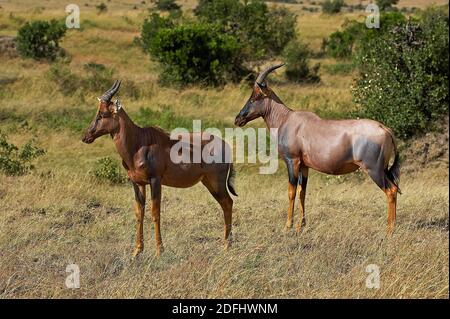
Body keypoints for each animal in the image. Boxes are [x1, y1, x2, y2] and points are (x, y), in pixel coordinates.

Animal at [81, 80, 237, 258]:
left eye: (102, 114)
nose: (85, 136)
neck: (139, 142)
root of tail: (226, 146)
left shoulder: (155, 180)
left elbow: (156, 213)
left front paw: (159, 251)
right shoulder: (137, 183)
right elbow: (139, 213)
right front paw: (137, 251)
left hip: (216, 183)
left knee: (228, 203)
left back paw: (226, 246)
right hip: (208, 182)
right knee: (226, 204)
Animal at [236, 64, 400, 235]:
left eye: (254, 98)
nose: (238, 119)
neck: (287, 119)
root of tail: (385, 129)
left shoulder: (292, 161)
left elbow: (291, 192)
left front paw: (287, 226)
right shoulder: (304, 166)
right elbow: (302, 192)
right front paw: (300, 226)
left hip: (374, 170)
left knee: (391, 191)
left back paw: (389, 231)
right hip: (383, 170)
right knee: (395, 188)